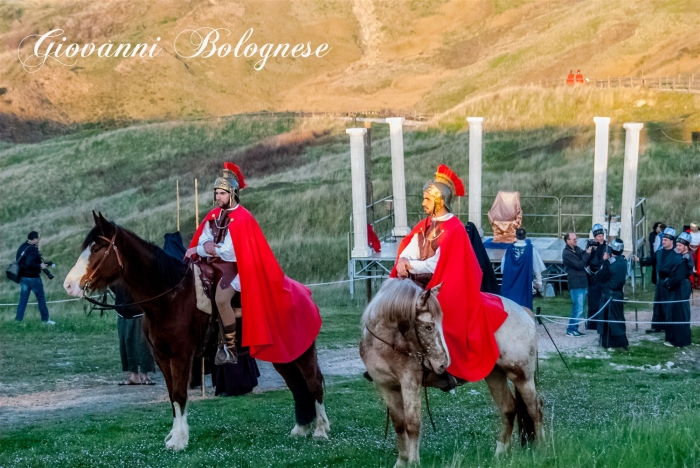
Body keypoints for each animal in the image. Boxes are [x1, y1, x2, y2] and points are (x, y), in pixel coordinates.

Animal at [63, 214, 330, 452]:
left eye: (96, 248)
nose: (69, 285)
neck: (169, 296)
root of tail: (303, 292)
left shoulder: (182, 356)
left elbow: (180, 394)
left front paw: (179, 441)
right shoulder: (162, 357)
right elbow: (172, 396)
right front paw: (174, 436)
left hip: (302, 352)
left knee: (313, 382)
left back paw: (320, 430)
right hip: (282, 356)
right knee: (296, 385)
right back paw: (301, 429)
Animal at [360, 280, 540, 466]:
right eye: (428, 327)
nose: (443, 364)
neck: (386, 344)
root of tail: (522, 310)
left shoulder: (410, 382)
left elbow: (412, 424)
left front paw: (414, 462)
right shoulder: (385, 385)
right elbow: (399, 424)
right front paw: (401, 462)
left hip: (521, 376)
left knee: (535, 408)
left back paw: (542, 448)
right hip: (495, 375)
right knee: (508, 408)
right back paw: (500, 452)